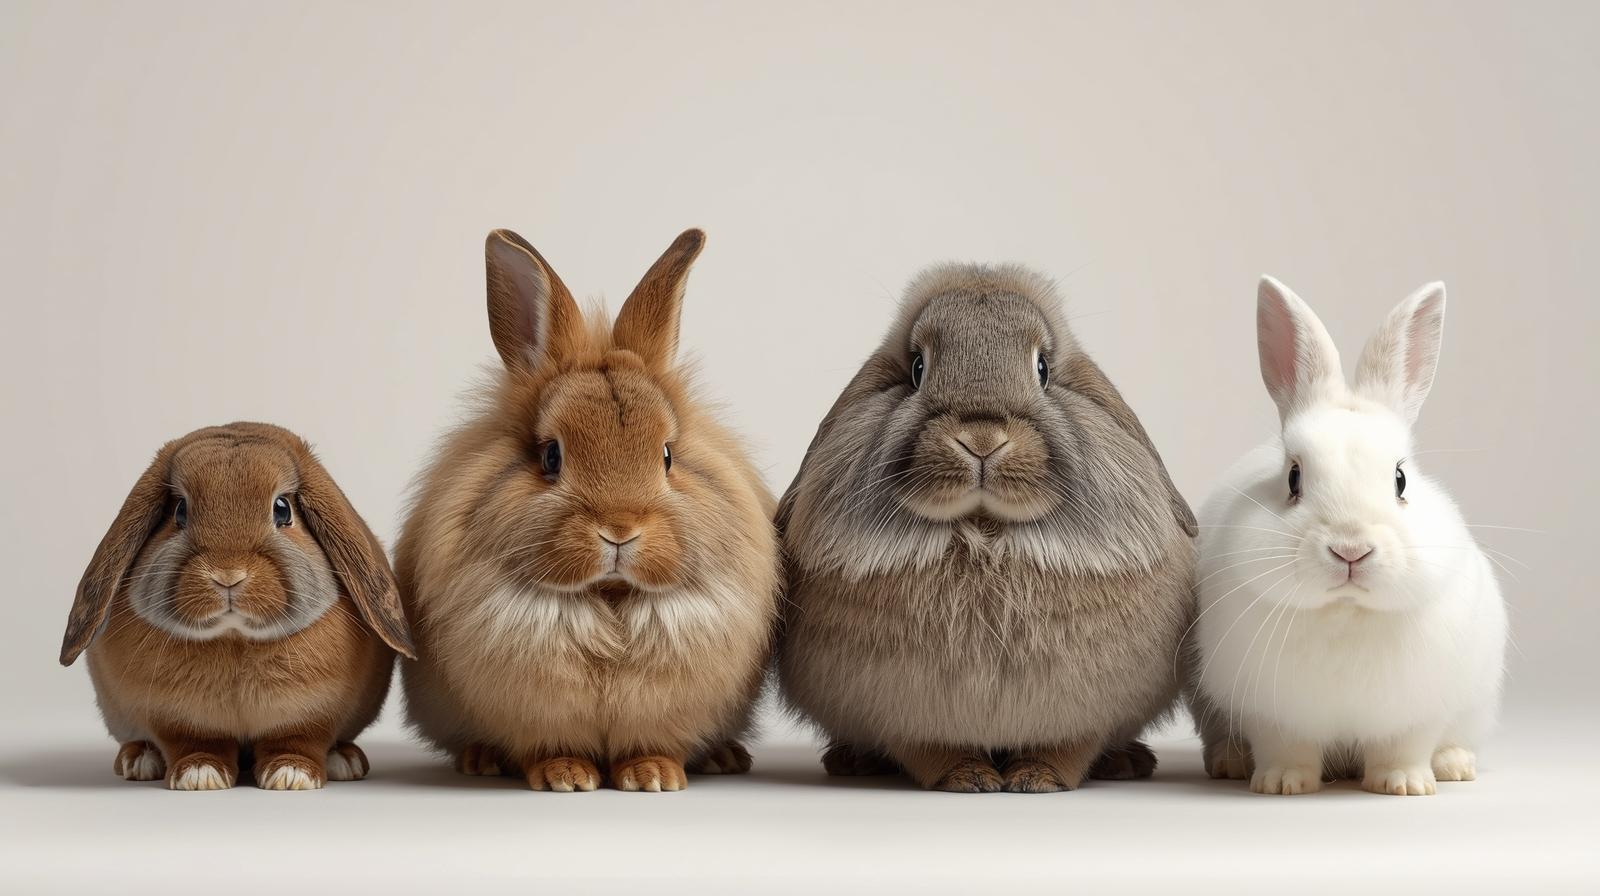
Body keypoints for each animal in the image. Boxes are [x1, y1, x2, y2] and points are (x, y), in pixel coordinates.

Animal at [61, 422, 414, 790]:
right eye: (180, 511)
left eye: (282, 509)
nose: (227, 575)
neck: (235, 638)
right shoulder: (179, 720)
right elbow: (196, 744)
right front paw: (200, 775)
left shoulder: (309, 717)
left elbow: (296, 742)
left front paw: (292, 776)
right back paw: (139, 760)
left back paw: (344, 760)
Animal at [395, 228, 779, 792]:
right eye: (551, 456)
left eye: (667, 455)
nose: (619, 530)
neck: (608, 600)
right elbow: (551, 745)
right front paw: (569, 777)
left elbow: (650, 743)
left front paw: (653, 776)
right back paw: (480, 759)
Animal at [775, 263, 1198, 792]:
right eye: (917, 369)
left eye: (1043, 369)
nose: (981, 439)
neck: (984, 535)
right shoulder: (905, 717)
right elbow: (932, 751)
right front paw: (970, 779)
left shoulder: (1084, 716)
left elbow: (1066, 748)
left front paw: (1036, 780)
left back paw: (1127, 762)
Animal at [1187, 277, 1508, 796]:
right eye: (1294, 477)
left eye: (1400, 479)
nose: (1351, 549)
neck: (1345, 610)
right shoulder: (1272, 715)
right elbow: (1285, 749)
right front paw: (1280, 784)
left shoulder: (1417, 713)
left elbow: (1404, 748)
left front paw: (1404, 785)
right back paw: (1230, 763)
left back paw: (1454, 766)